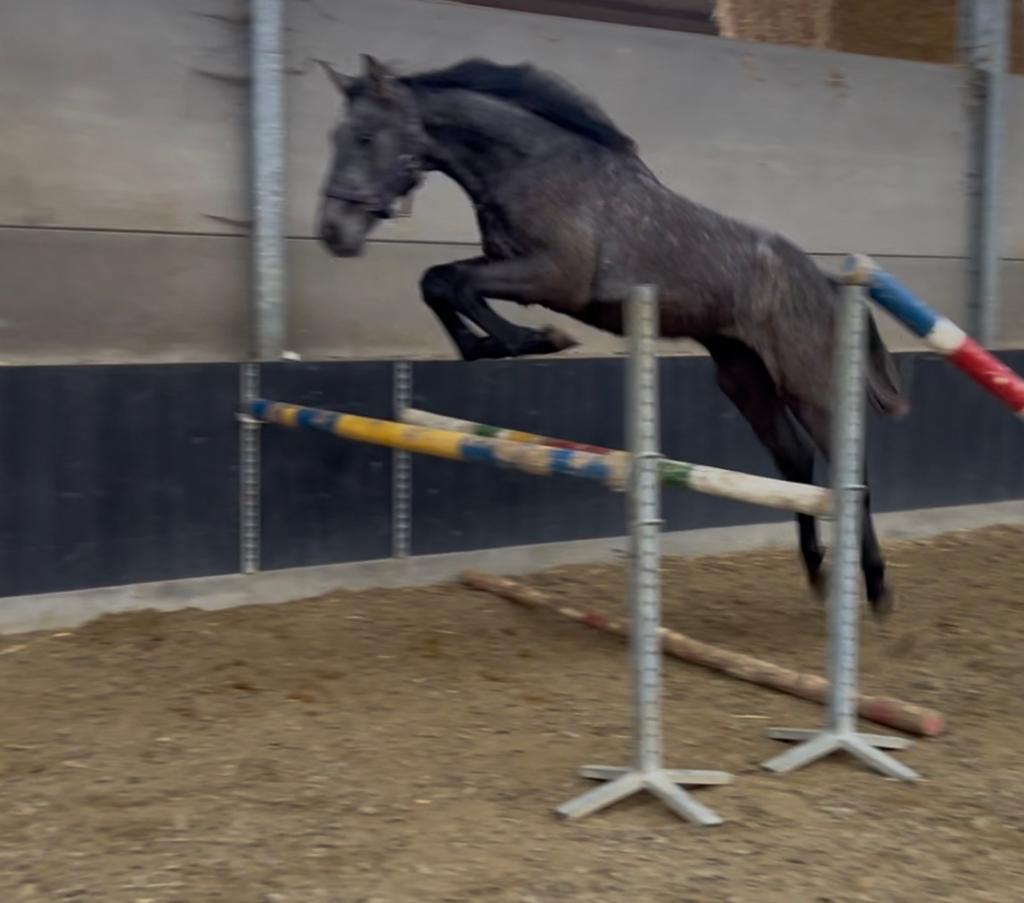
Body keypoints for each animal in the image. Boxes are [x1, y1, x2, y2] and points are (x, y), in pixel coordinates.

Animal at [314, 54, 909, 618]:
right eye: (335, 137)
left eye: (365, 137)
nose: (333, 232)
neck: (530, 165)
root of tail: (826, 284)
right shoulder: (509, 265)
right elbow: (438, 282)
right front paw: (493, 345)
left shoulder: (551, 278)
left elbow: (456, 285)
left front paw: (542, 339)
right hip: (744, 378)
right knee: (795, 461)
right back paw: (815, 570)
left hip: (807, 386)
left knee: (849, 472)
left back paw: (876, 587)